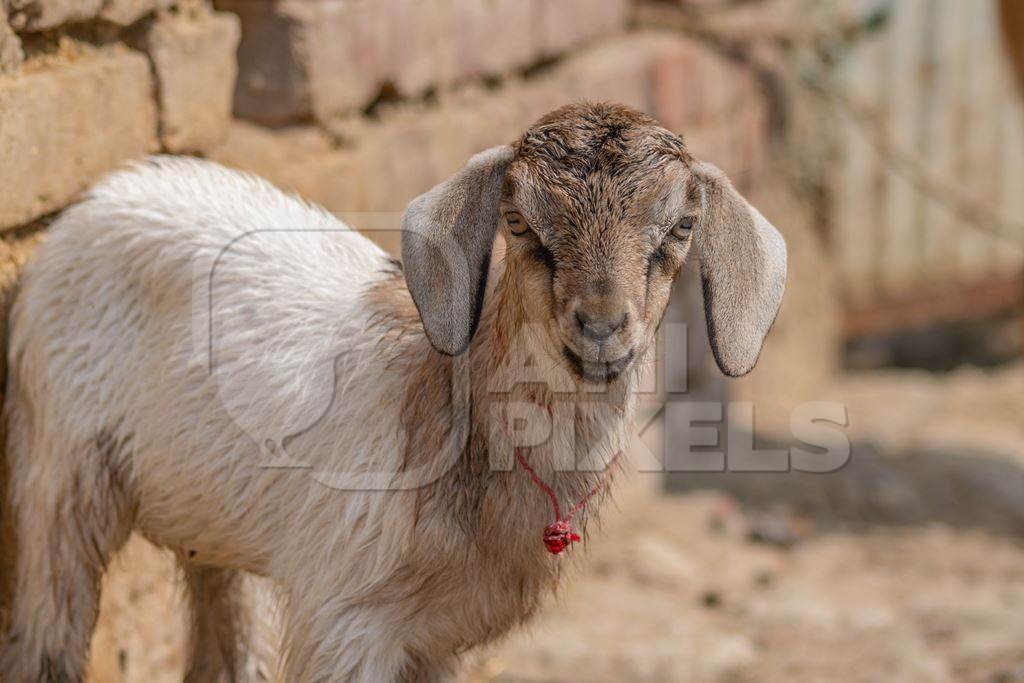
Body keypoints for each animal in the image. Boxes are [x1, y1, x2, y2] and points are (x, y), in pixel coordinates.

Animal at [0, 102, 786, 683]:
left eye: (681, 227)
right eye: (520, 223)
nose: (600, 328)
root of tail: (111, 187)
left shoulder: (437, 638)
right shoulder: (347, 620)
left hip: (212, 517)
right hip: (60, 465)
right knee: (46, 631)